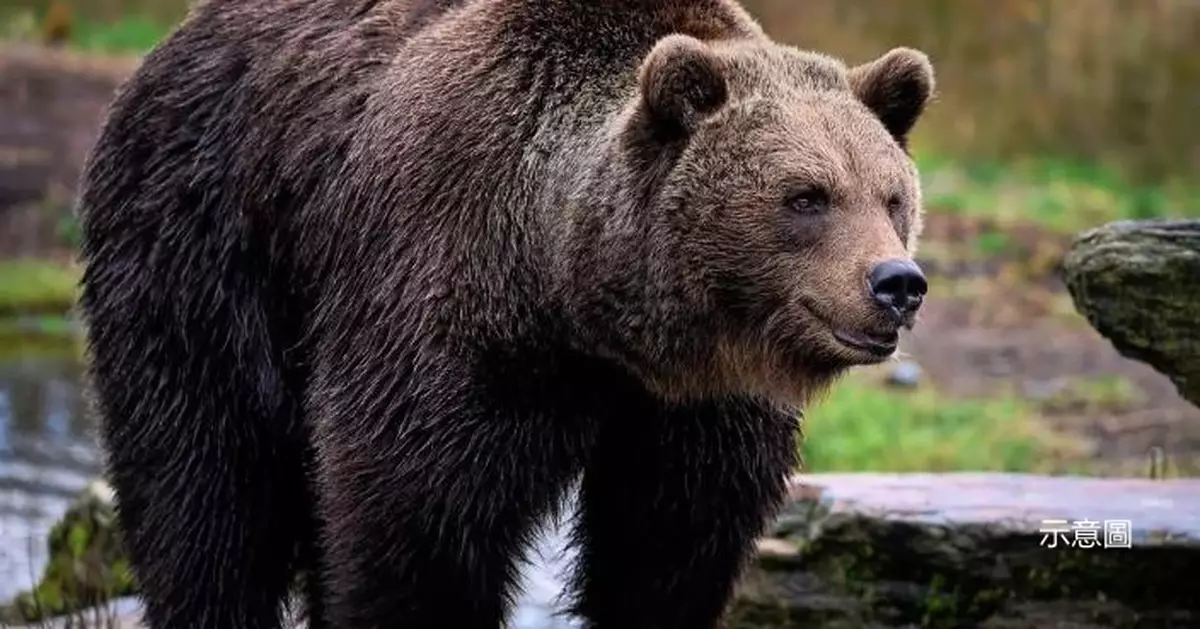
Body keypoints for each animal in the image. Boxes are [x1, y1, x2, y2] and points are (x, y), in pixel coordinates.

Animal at [75, 0, 936, 624]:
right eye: (807, 196)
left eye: (892, 196)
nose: (896, 282)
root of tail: (173, 41)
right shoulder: (446, 312)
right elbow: (411, 524)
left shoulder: (693, 410)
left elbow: (667, 548)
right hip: (204, 250)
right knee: (204, 488)